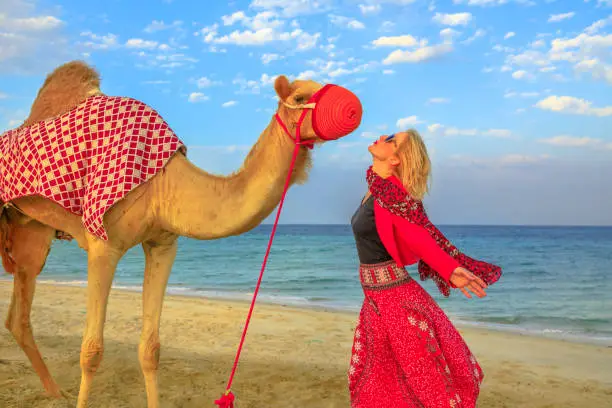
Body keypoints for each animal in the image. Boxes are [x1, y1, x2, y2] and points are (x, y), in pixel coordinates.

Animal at [0, 60, 360, 408]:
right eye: (299, 97)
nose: (353, 106)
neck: (164, 182)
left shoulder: (163, 243)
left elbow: (150, 349)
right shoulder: (103, 245)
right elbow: (91, 350)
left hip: (33, 230)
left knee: (19, 314)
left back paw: (54, 392)